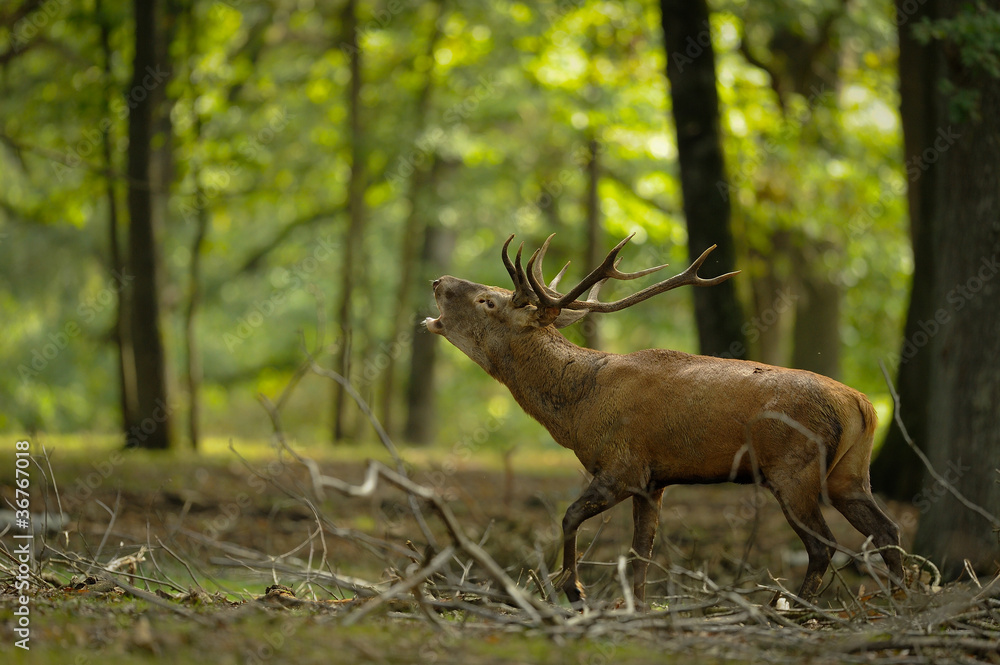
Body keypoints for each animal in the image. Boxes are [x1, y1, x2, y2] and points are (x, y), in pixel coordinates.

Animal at [424, 233, 903, 607]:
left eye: (488, 300)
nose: (438, 281)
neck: (579, 408)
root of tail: (863, 404)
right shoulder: (652, 484)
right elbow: (641, 553)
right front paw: (632, 606)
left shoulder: (622, 466)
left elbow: (569, 517)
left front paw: (573, 589)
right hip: (850, 474)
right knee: (887, 529)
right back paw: (899, 600)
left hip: (793, 469)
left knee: (823, 545)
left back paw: (790, 608)